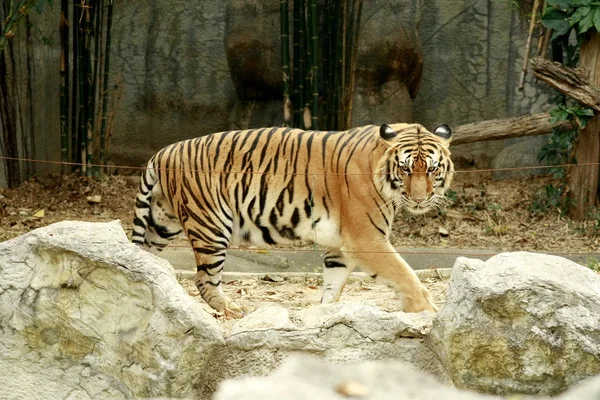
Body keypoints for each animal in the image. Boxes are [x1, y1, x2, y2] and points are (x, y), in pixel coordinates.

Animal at [132, 123, 454, 318]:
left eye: (432, 169)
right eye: (406, 169)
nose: (419, 199)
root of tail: (162, 153)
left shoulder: (340, 246)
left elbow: (333, 285)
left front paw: (324, 315)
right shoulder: (366, 238)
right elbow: (405, 274)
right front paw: (425, 311)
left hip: (162, 222)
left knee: (148, 263)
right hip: (211, 224)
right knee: (204, 280)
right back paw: (234, 310)